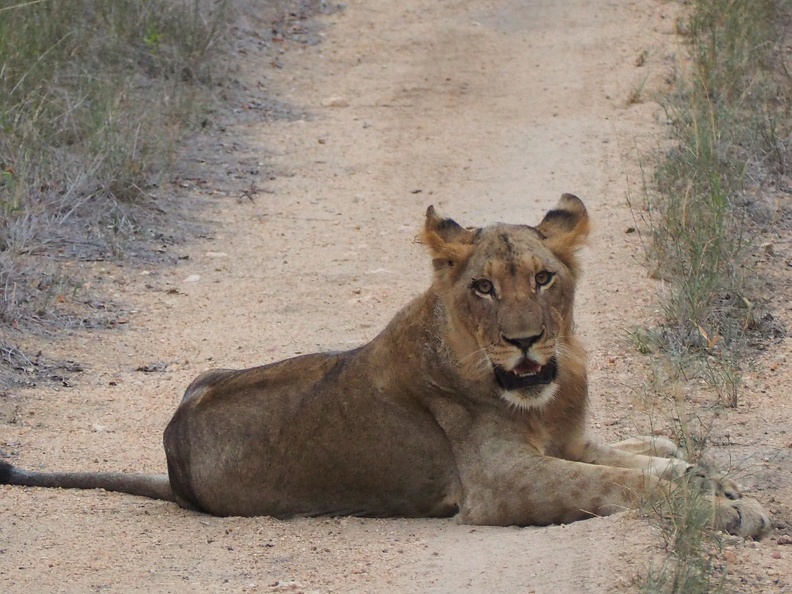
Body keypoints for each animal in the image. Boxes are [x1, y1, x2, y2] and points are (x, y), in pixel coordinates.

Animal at [0, 194, 772, 536]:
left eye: (543, 278)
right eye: (483, 288)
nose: (526, 342)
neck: (545, 395)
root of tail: (171, 453)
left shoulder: (570, 441)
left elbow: (644, 460)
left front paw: (721, 484)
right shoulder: (500, 487)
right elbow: (622, 484)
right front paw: (722, 508)